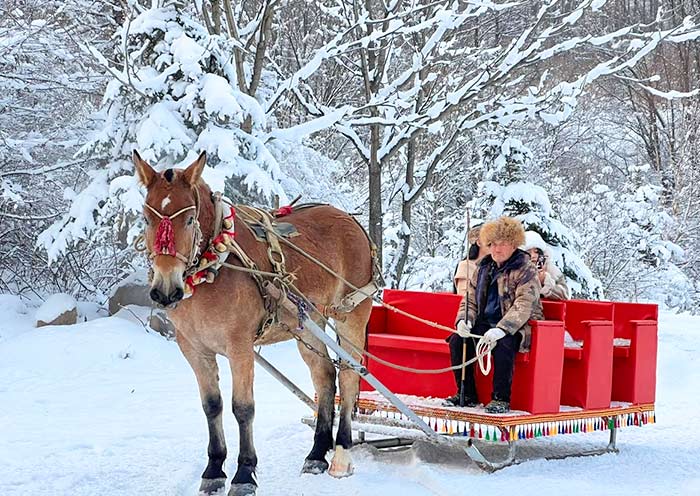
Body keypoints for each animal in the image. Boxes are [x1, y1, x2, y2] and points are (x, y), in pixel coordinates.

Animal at [133, 151, 374, 496]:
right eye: (147, 219)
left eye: (189, 220)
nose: (166, 290)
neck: (214, 266)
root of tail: (351, 220)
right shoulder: (192, 347)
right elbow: (212, 405)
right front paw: (214, 469)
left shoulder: (240, 346)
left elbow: (243, 407)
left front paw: (244, 473)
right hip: (308, 321)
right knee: (325, 375)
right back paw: (316, 453)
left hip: (351, 312)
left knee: (350, 375)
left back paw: (341, 453)